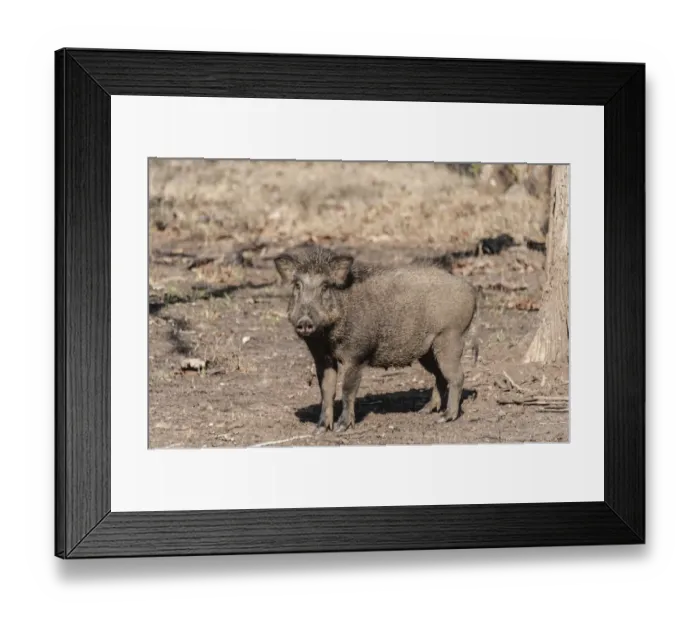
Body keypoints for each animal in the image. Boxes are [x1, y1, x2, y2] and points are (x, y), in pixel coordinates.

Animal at [274, 245, 478, 433]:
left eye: (325, 286)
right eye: (297, 286)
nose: (305, 321)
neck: (327, 337)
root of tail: (470, 289)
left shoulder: (356, 356)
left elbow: (347, 390)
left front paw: (341, 427)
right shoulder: (322, 358)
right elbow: (326, 392)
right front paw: (320, 430)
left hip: (450, 338)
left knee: (457, 376)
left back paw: (445, 418)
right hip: (427, 351)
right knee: (440, 376)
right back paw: (425, 411)